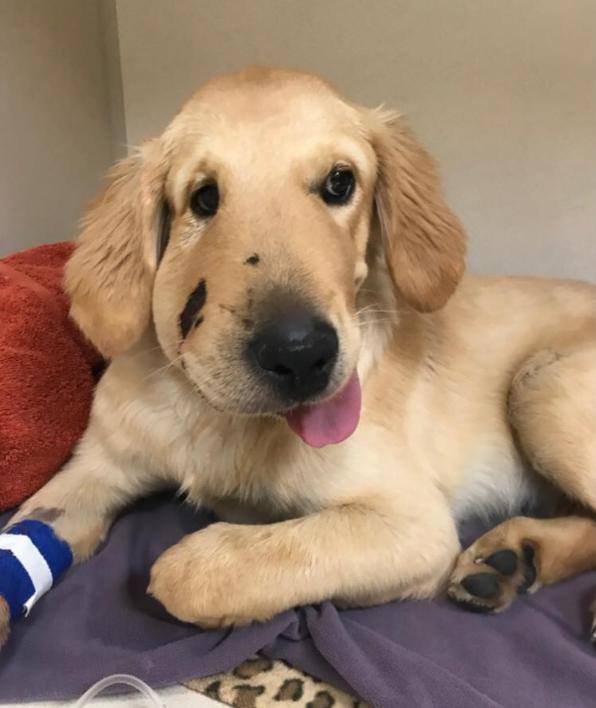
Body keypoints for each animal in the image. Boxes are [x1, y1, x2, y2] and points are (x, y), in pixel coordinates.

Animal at [2, 66, 595, 645]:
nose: (301, 354)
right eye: (203, 197)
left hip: (541, 383)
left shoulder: (413, 523)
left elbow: (201, 570)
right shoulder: (94, 468)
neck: (211, 411)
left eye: (340, 182)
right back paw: (511, 559)